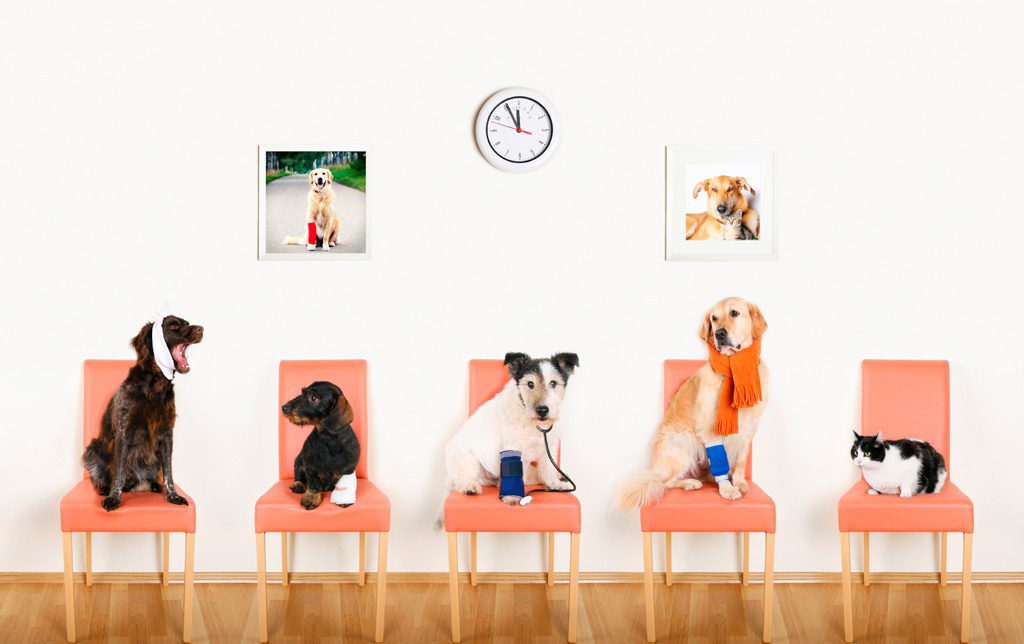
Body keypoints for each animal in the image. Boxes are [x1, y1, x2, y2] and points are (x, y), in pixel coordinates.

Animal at [280, 378, 360, 509]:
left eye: (314, 397)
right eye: (302, 392)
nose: (284, 408)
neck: (328, 439)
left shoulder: (349, 469)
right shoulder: (310, 465)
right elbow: (313, 483)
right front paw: (311, 498)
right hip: (298, 460)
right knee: (299, 476)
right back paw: (298, 485)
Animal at [446, 354, 581, 505]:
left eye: (553, 383)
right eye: (530, 384)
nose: (542, 410)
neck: (533, 423)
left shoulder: (550, 447)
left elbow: (548, 468)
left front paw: (555, 484)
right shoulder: (512, 448)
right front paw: (512, 496)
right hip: (466, 459)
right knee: (460, 479)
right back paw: (470, 486)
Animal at [614, 298, 770, 509]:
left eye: (734, 313)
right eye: (714, 318)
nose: (719, 334)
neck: (733, 368)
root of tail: (655, 467)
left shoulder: (748, 429)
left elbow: (740, 461)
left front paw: (739, 482)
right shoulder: (710, 427)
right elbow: (720, 462)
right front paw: (727, 489)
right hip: (684, 445)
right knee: (665, 482)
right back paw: (690, 483)